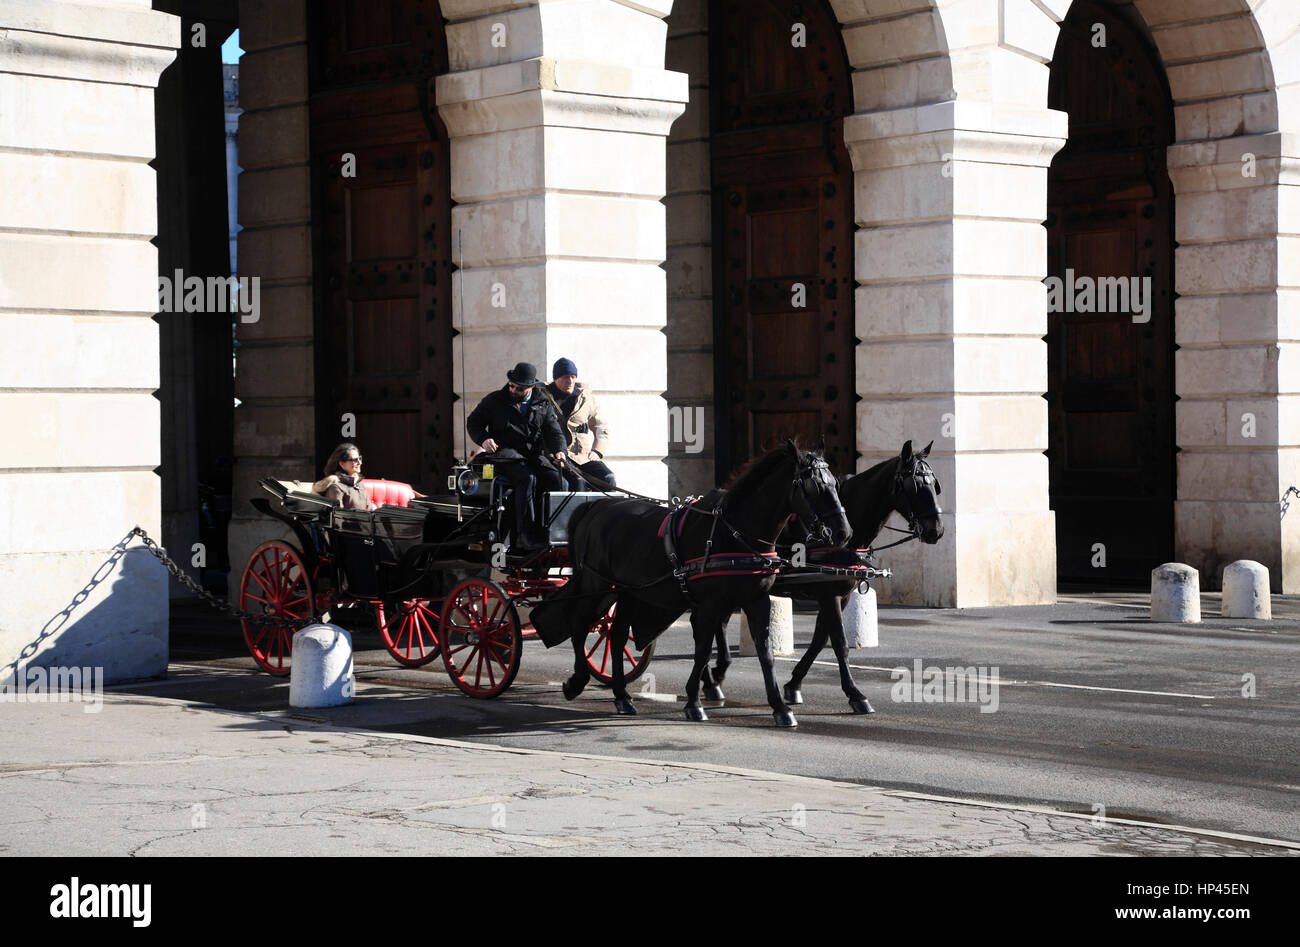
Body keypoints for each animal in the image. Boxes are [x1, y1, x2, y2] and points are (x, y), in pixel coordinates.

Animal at [527, 439, 852, 728]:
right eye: (812, 487)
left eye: (835, 485)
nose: (844, 533)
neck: (733, 534)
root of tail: (596, 508)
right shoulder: (710, 605)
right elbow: (703, 650)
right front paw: (695, 702)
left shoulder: (756, 600)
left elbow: (765, 652)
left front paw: (780, 707)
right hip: (597, 584)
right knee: (580, 625)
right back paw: (577, 681)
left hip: (631, 592)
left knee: (616, 636)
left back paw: (622, 696)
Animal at [702, 439, 946, 712]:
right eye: (913, 486)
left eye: (934, 484)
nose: (936, 530)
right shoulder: (829, 595)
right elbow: (839, 642)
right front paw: (855, 694)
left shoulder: (840, 595)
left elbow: (820, 639)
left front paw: (794, 684)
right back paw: (713, 676)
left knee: (719, 622)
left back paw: (715, 675)